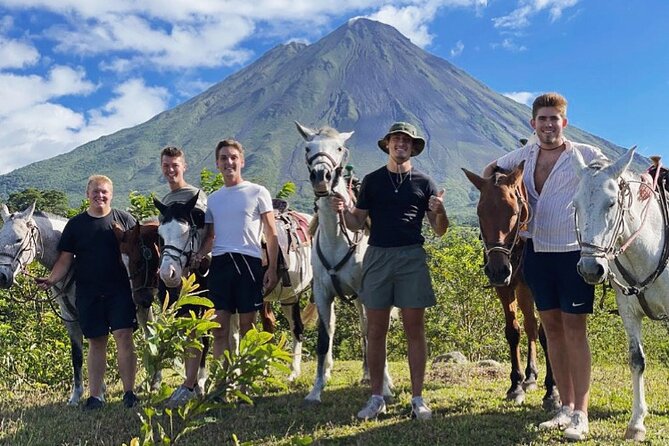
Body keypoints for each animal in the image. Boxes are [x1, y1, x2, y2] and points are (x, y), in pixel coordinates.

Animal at [294, 122, 394, 404]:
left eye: (339, 148)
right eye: (308, 148)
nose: (321, 176)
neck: (337, 237)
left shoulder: (367, 292)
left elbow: (373, 333)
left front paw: (384, 386)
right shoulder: (322, 293)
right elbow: (324, 337)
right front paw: (316, 389)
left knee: (367, 329)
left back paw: (371, 374)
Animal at [460, 162, 560, 410]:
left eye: (514, 212)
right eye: (480, 213)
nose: (497, 270)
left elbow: (548, 334)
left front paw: (553, 390)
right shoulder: (504, 287)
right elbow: (513, 331)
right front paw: (515, 385)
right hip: (522, 288)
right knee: (530, 325)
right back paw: (530, 376)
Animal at [568, 148, 668, 440]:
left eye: (612, 203)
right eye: (575, 205)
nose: (590, 269)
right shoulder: (628, 312)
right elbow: (637, 361)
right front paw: (636, 424)